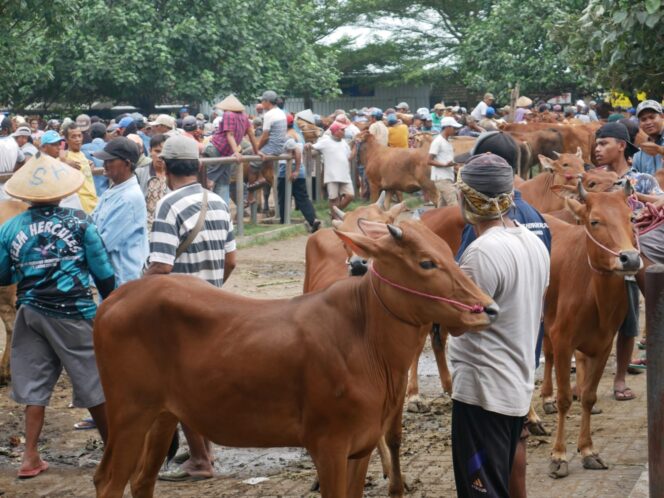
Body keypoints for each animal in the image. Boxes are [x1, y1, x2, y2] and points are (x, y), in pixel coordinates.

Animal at [94, 221, 498, 498]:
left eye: (447, 250)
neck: (366, 341)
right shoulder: (329, 445)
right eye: (427, 263)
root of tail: (116, 297)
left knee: (141, 480)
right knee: (108, 481)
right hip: (129, 414)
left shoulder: (362, 446)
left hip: (162, 415)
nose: (488, 308)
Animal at [544, 181, 640, 476]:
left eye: (631, 218)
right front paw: (559, 455)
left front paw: (587, 450)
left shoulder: (604, 344)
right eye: (595, 221)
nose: (630, 258)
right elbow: (565, 398)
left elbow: (588, 396)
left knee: (546, 356)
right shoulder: (563, 340)